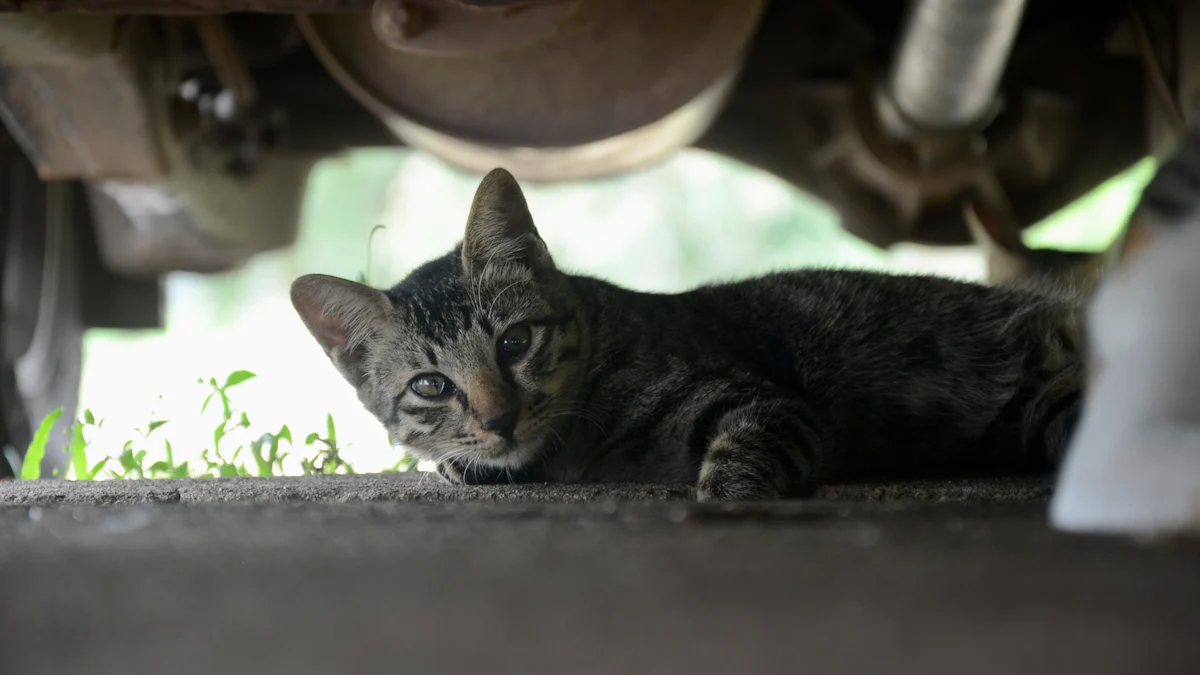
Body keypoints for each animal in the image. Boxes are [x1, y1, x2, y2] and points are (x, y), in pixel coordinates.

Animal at [292, 166, 1089, 499]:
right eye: (431, 385)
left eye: (514, 342)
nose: (499, 418)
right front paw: (468, 460)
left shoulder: (764, 402)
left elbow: (738, 460)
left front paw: (725, 501)